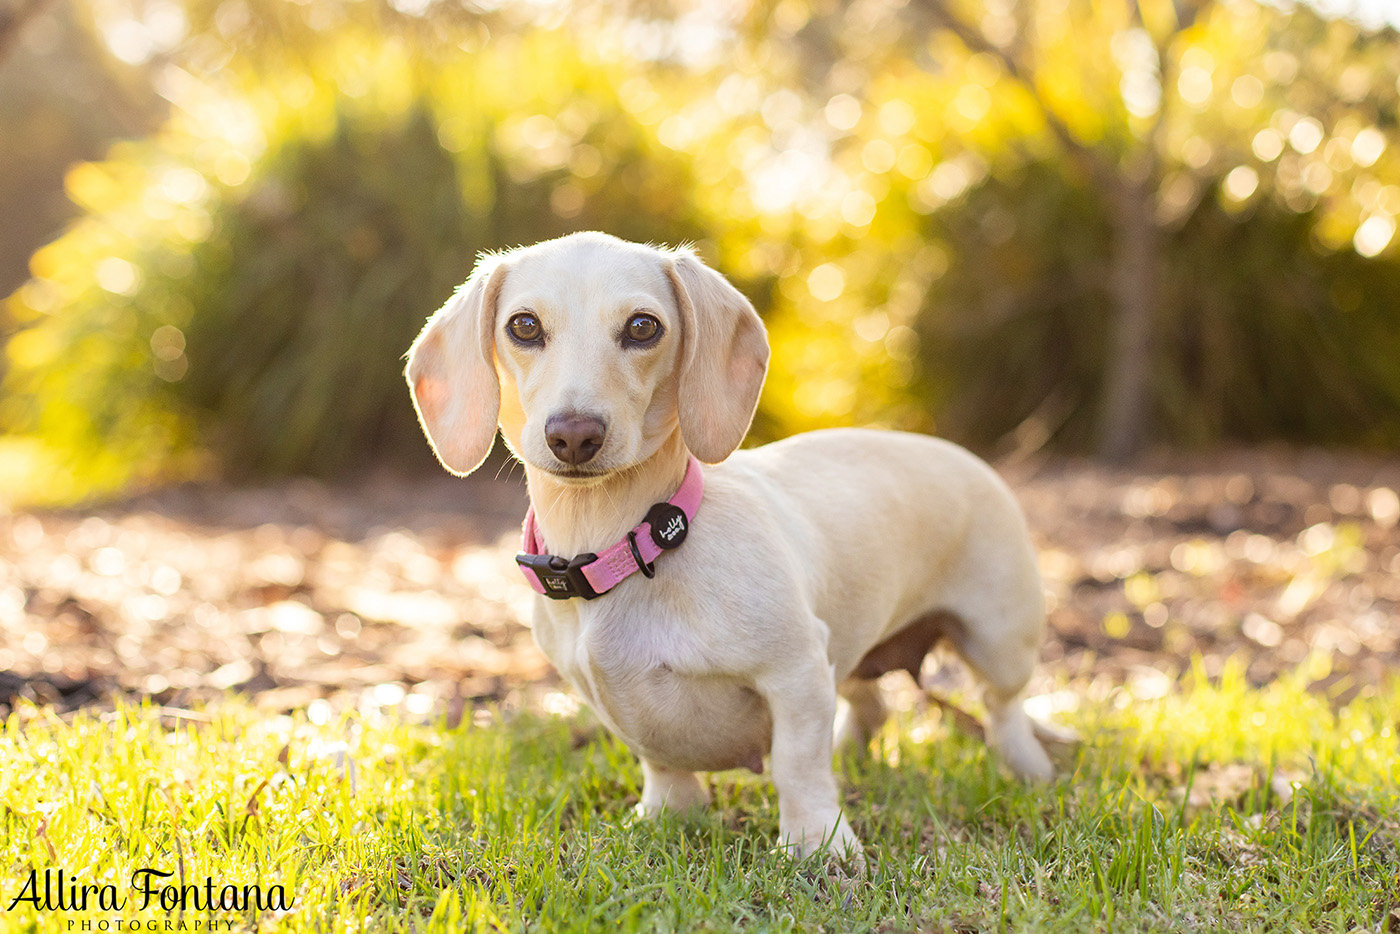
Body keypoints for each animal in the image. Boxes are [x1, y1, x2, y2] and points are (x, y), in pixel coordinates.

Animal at [406, 232, 1052, 862]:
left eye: (643, 327)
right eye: (523, 325)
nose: (573, 435)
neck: (634, 544)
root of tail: (963, 454)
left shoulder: (795, 672)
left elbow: (797, 764)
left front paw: (817, 843)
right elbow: (662, 765)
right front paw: (666, 816)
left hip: (997, 639)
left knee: (1002, 708)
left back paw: (1030, 772)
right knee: (873, 706)